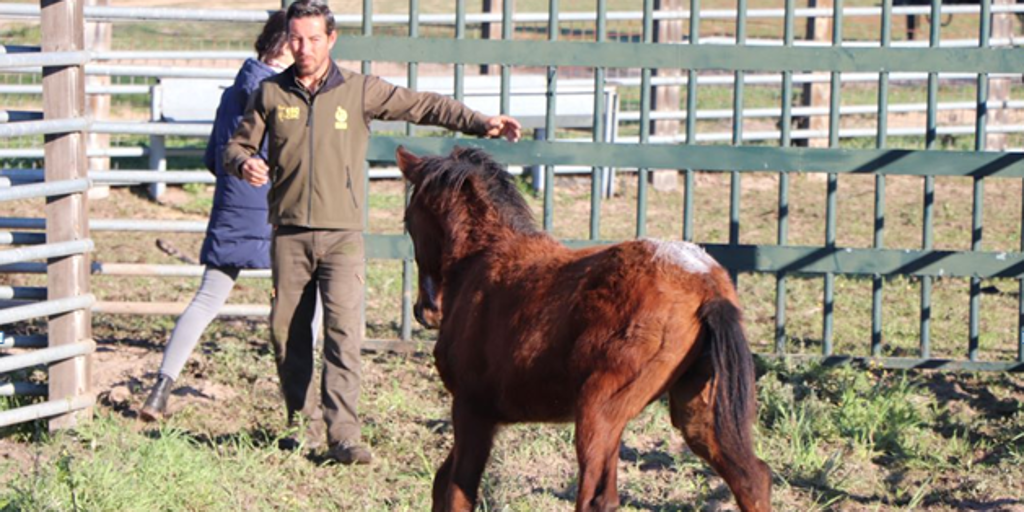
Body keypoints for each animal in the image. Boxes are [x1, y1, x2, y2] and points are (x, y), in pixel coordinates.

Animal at [395, 146, 772, 512]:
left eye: (409, 220)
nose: (425, 311)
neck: (481, 260)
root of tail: (707, 284)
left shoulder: (471, 408)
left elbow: (456, 492)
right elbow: (442, 484)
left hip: (598, 409)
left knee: (596, 498)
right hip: (695, 407)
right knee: (752, 478)